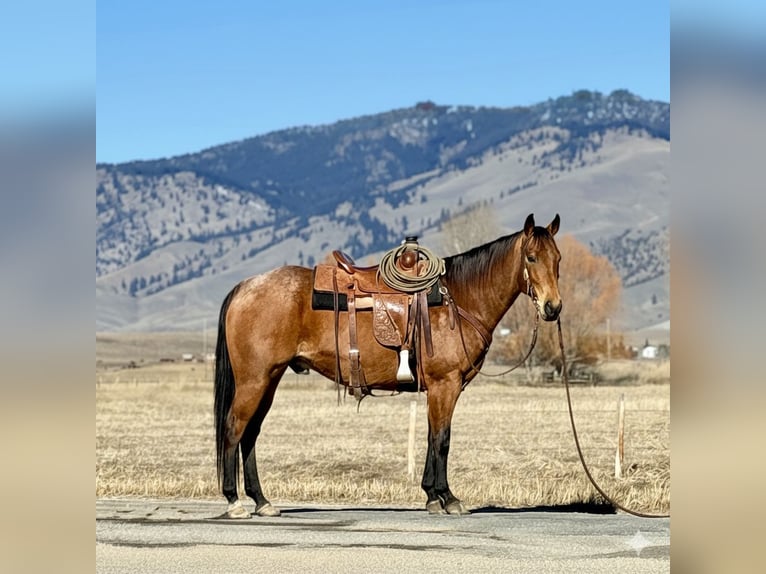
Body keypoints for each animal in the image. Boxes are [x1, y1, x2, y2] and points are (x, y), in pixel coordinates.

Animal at [214, 213, 562, 518]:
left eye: (557, 259)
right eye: (531, 257)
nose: (553, 307)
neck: (459, 299)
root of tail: (246, 286)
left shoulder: (440, 389)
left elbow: (431, 437)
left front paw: (432, 496)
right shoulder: (445, 384)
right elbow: (442, 439)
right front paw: (448, 498)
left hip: (270, 379)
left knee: (251, 433)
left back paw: (262, 501)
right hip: (254, 380)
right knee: (234, 428)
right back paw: (234, 502)